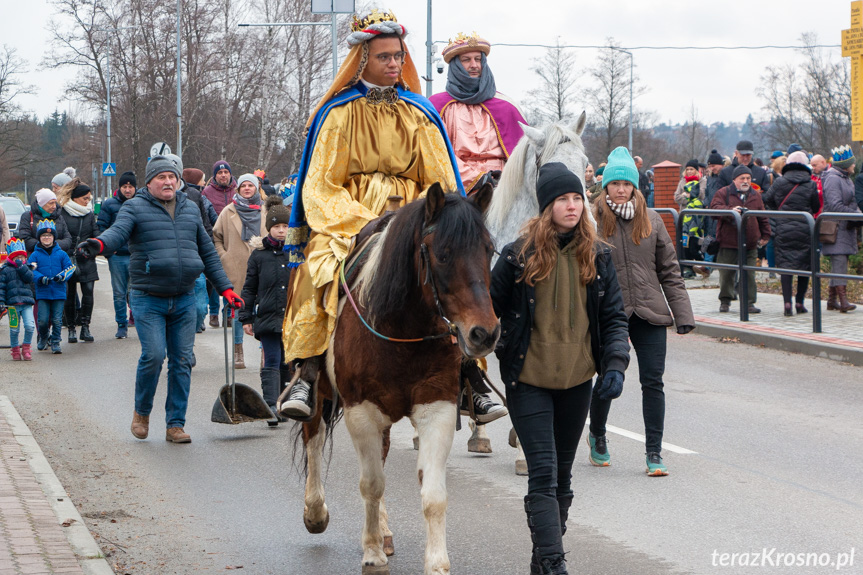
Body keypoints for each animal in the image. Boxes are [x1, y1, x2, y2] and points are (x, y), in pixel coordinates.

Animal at [298, 182, 496, 572]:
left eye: (488, 249)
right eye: (443, 255)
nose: (484, 333)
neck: (403, 331)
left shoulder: (437, 407)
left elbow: (432, 495)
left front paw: (436, 563)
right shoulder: (361, 412)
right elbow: (371, 483)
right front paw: (372, 553)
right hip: (323, 393)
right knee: (313, 435)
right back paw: (315, 512)